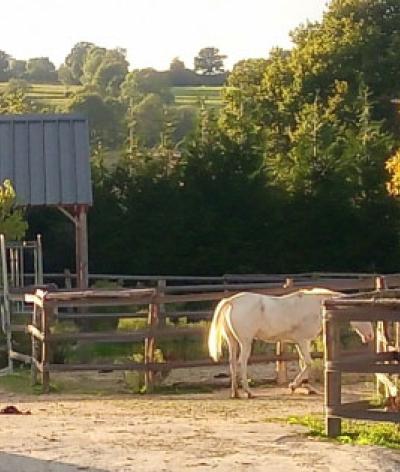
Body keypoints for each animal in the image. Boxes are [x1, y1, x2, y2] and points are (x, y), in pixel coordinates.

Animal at [208, 290, 374, 396]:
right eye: (362, 314)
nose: (370, 336)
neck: (317, 306)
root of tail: (231, 301)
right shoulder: (303, 340)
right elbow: (308, 362)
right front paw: (293, 386)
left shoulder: (300, 342)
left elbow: (303, 363)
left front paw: (307, 388)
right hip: (246, 342)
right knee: (241, 362)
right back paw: (248, 392)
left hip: (232, 341)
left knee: (232, 363)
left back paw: (235, 393)